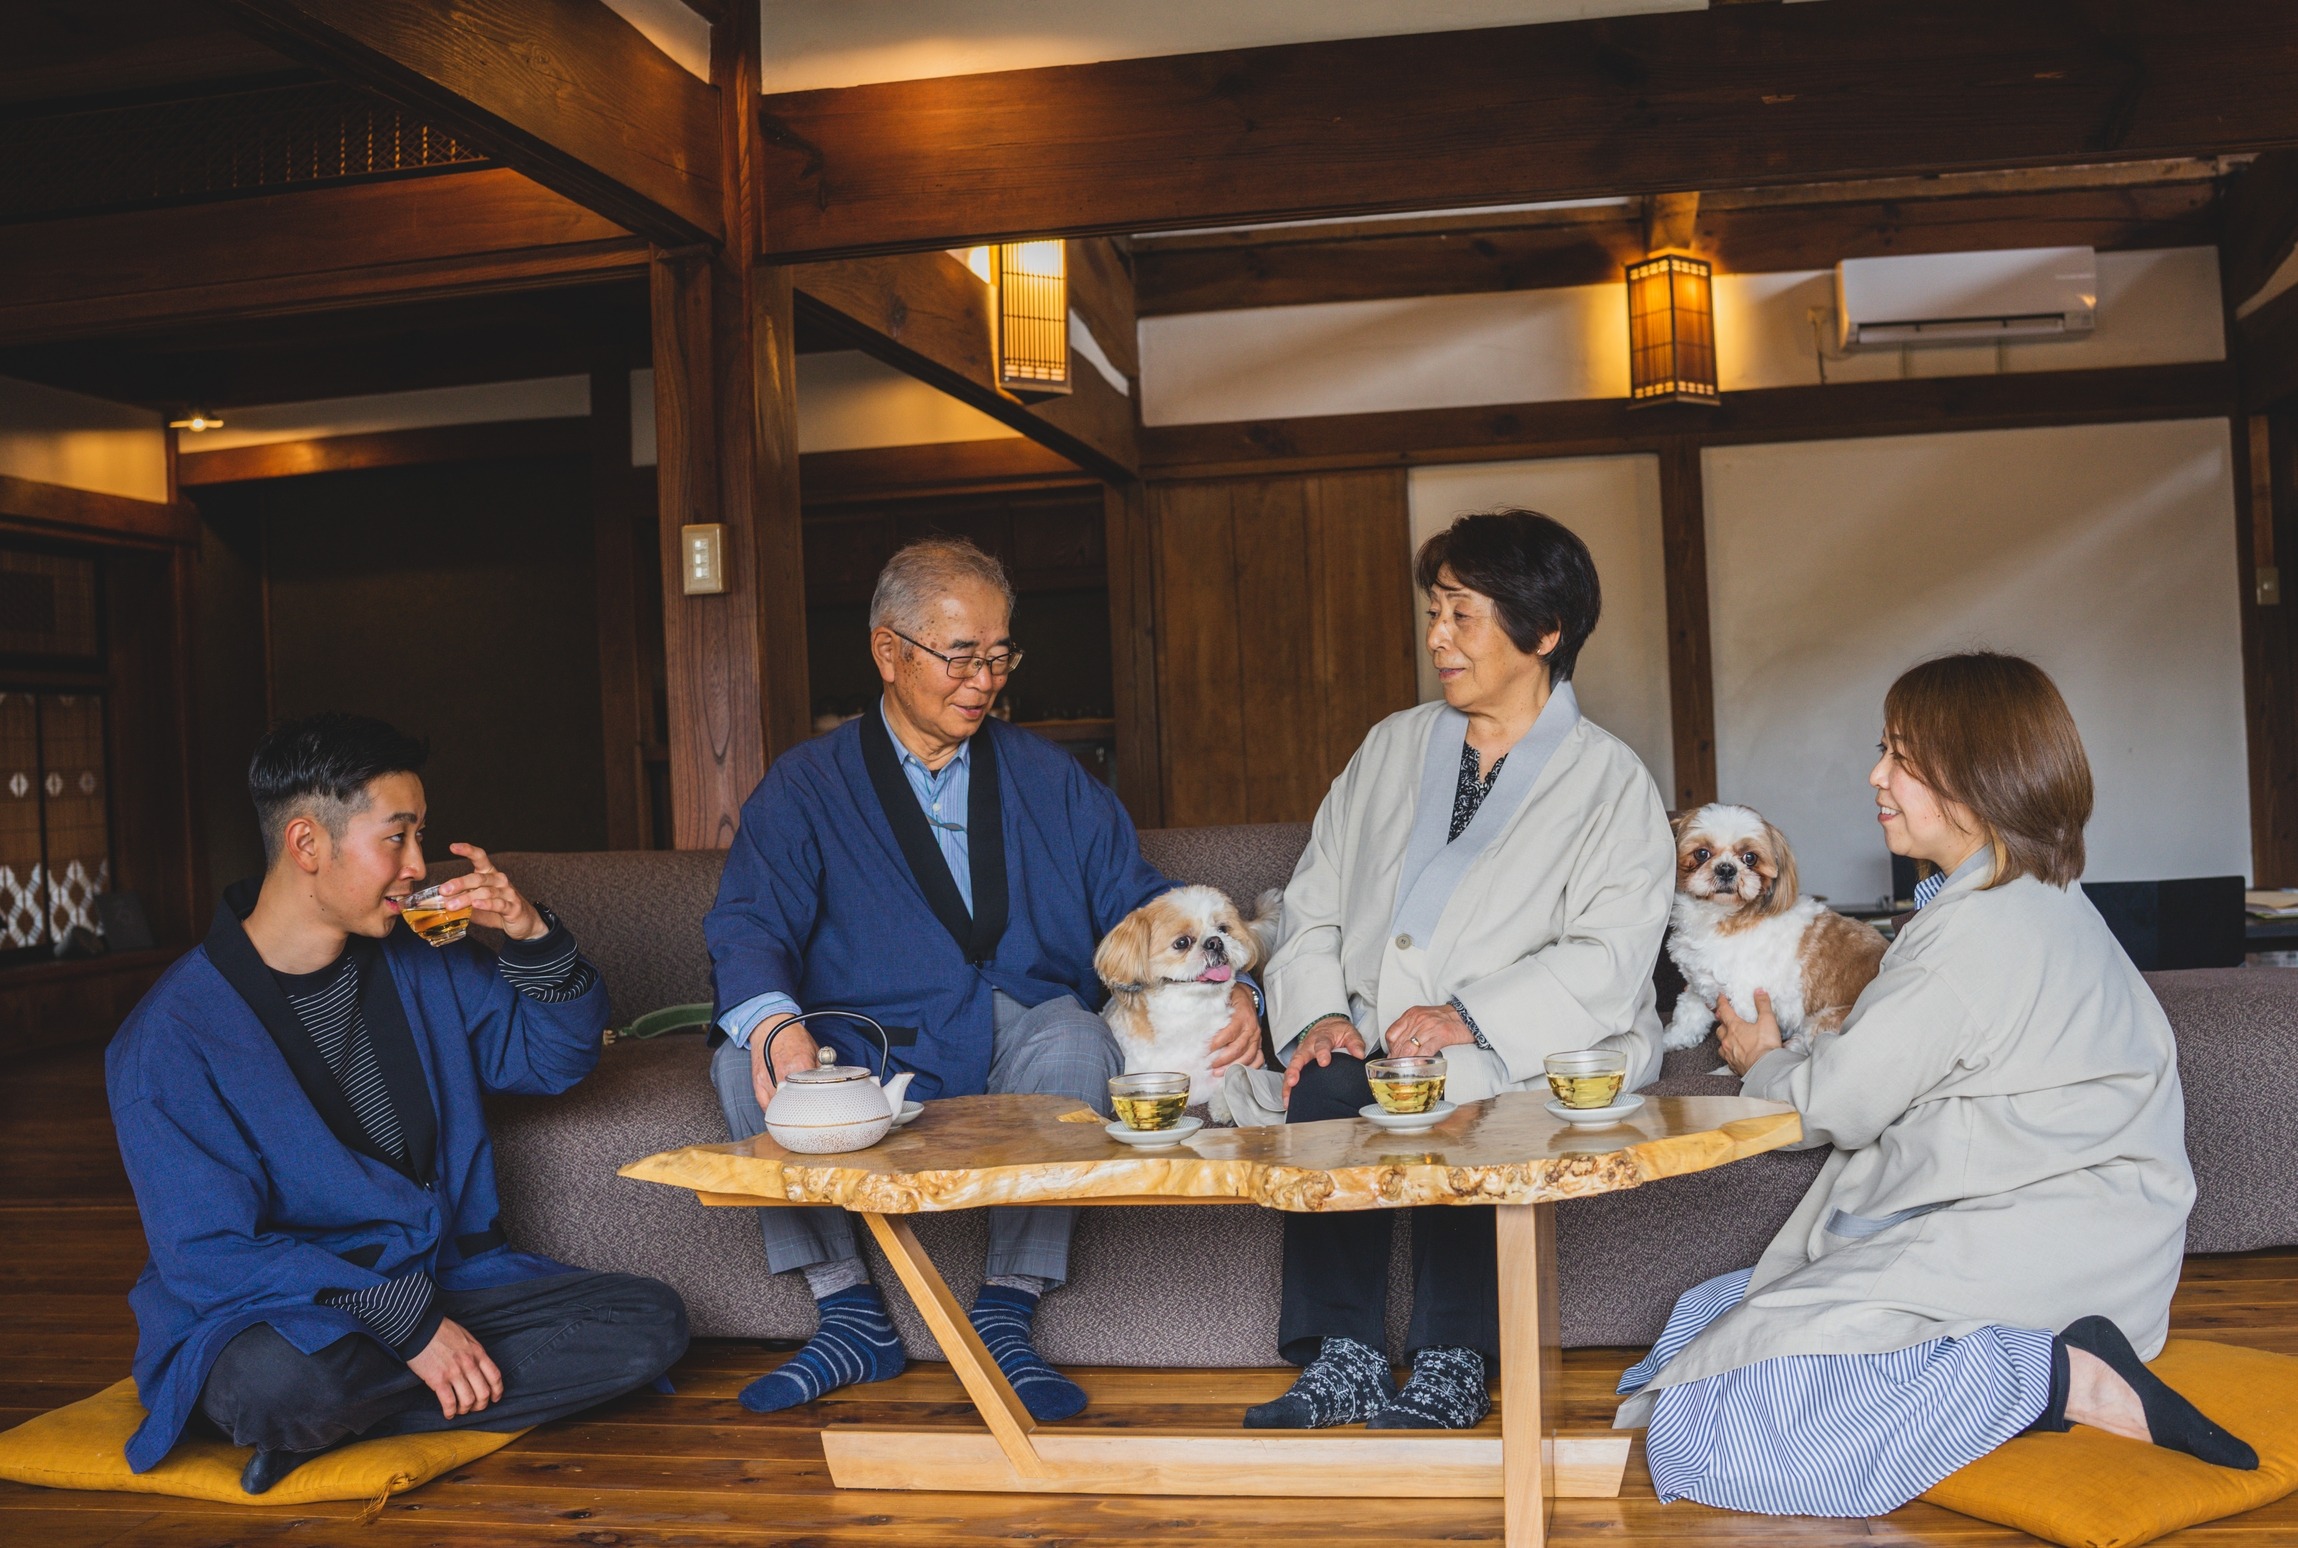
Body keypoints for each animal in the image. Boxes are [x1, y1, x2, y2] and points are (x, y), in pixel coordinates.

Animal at [1089, 881, 1286, 1120]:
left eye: (1223, 929)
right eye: (1182, 942)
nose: (1215, 942)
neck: (1189, 1017)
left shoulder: (1248, 1064)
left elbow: (1234, 1080)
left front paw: (1223, 1106)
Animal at [1672, 794, 1884, 1061]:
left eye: (1750, 857)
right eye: (1702, 853)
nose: (1726, 868)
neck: (1717, 917)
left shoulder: (1744, 1001)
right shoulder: (1699, 984)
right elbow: (1688, 1014)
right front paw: (1672, 1040)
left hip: (1823, 1020)